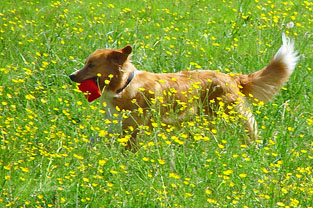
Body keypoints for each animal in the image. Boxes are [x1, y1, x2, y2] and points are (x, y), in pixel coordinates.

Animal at [70, 34, 298, 147]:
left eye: (91, 65)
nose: (71, 76)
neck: (125, 84)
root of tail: (232, 77)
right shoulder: (117, 126)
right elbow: (95, 140)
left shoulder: (132, 129)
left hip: (233, 117)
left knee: (249, 136)